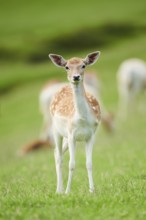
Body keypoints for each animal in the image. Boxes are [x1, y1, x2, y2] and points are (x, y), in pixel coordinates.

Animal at [48, 52, 101, 194]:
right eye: (67, 67)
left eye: (83, 65)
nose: (76, 77)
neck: (82, 119)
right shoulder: (72, 135)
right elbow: (71, 164)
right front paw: (68, 192)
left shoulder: (90, 136)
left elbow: (89, 163)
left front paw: (92, 190)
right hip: (56, 130)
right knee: (59, 156)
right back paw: (59, 190)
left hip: (67, 136)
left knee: (56, 152)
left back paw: (59, 189)